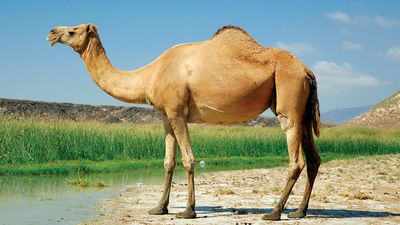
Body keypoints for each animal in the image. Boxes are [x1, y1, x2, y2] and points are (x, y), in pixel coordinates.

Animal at [47, 23, 322, 221]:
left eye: (72, 30)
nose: (51, 32)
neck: (151, 74)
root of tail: (307, 70)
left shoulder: (177, 111)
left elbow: (189, 159)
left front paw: (188, 210)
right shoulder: (165, 115)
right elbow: (169, 161)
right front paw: (159, 208)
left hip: (288, 98)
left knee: (296, 159)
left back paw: (274, 213)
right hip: (303, 110)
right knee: (313, 158)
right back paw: (299, 211)